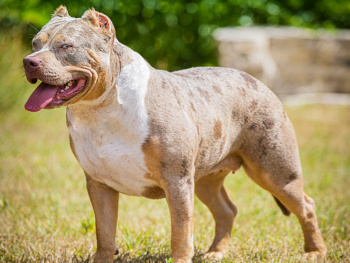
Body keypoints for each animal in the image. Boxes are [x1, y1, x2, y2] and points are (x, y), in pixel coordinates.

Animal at [23, 6, 326, 263]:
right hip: (205, 180)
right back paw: (216, 253)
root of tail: (256, 81)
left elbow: (180, 232)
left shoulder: (176, 181)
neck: (100, 109)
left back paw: (314, 251)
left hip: (275, 172)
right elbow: (105, 233)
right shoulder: (99, 185)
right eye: (35, 44)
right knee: (226, 210)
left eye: (66, 46)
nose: (29, 62)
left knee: (307, 205)